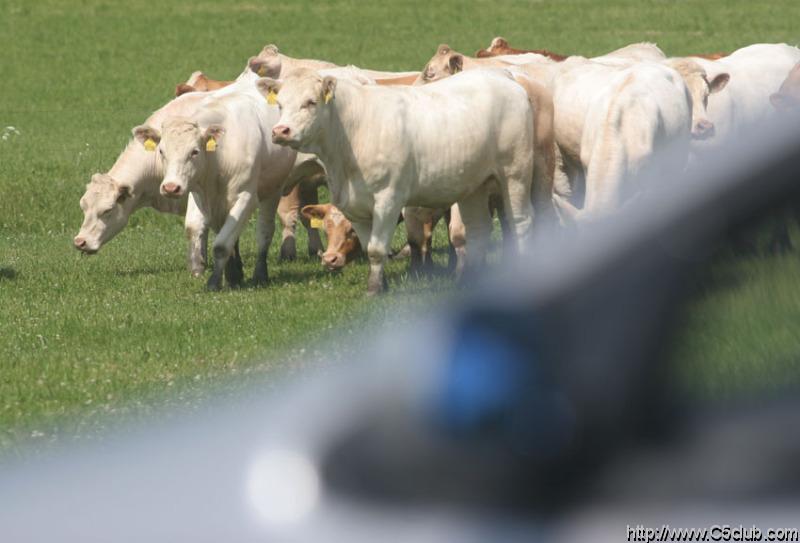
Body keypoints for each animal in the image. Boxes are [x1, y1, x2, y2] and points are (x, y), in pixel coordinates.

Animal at [262, 69, 536, 296]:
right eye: (280, 105)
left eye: (311, 102)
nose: (280, 131)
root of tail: (502, 76)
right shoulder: (354, 206)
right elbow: (369, 246)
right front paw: (380, 285)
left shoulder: (388, 199)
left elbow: (376, 249)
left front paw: (374, 290)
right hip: (474, 184)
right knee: (478, 228)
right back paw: (469, 280)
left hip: (515, 173)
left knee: (521, 222)